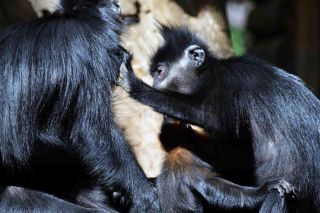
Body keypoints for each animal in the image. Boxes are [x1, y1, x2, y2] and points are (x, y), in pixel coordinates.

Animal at [118, 27, 320, 213]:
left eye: (159, 72)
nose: (154, 83)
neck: (208, 73)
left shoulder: (226, 79)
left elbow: (215, 120)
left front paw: (134, 84)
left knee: (277, 195)